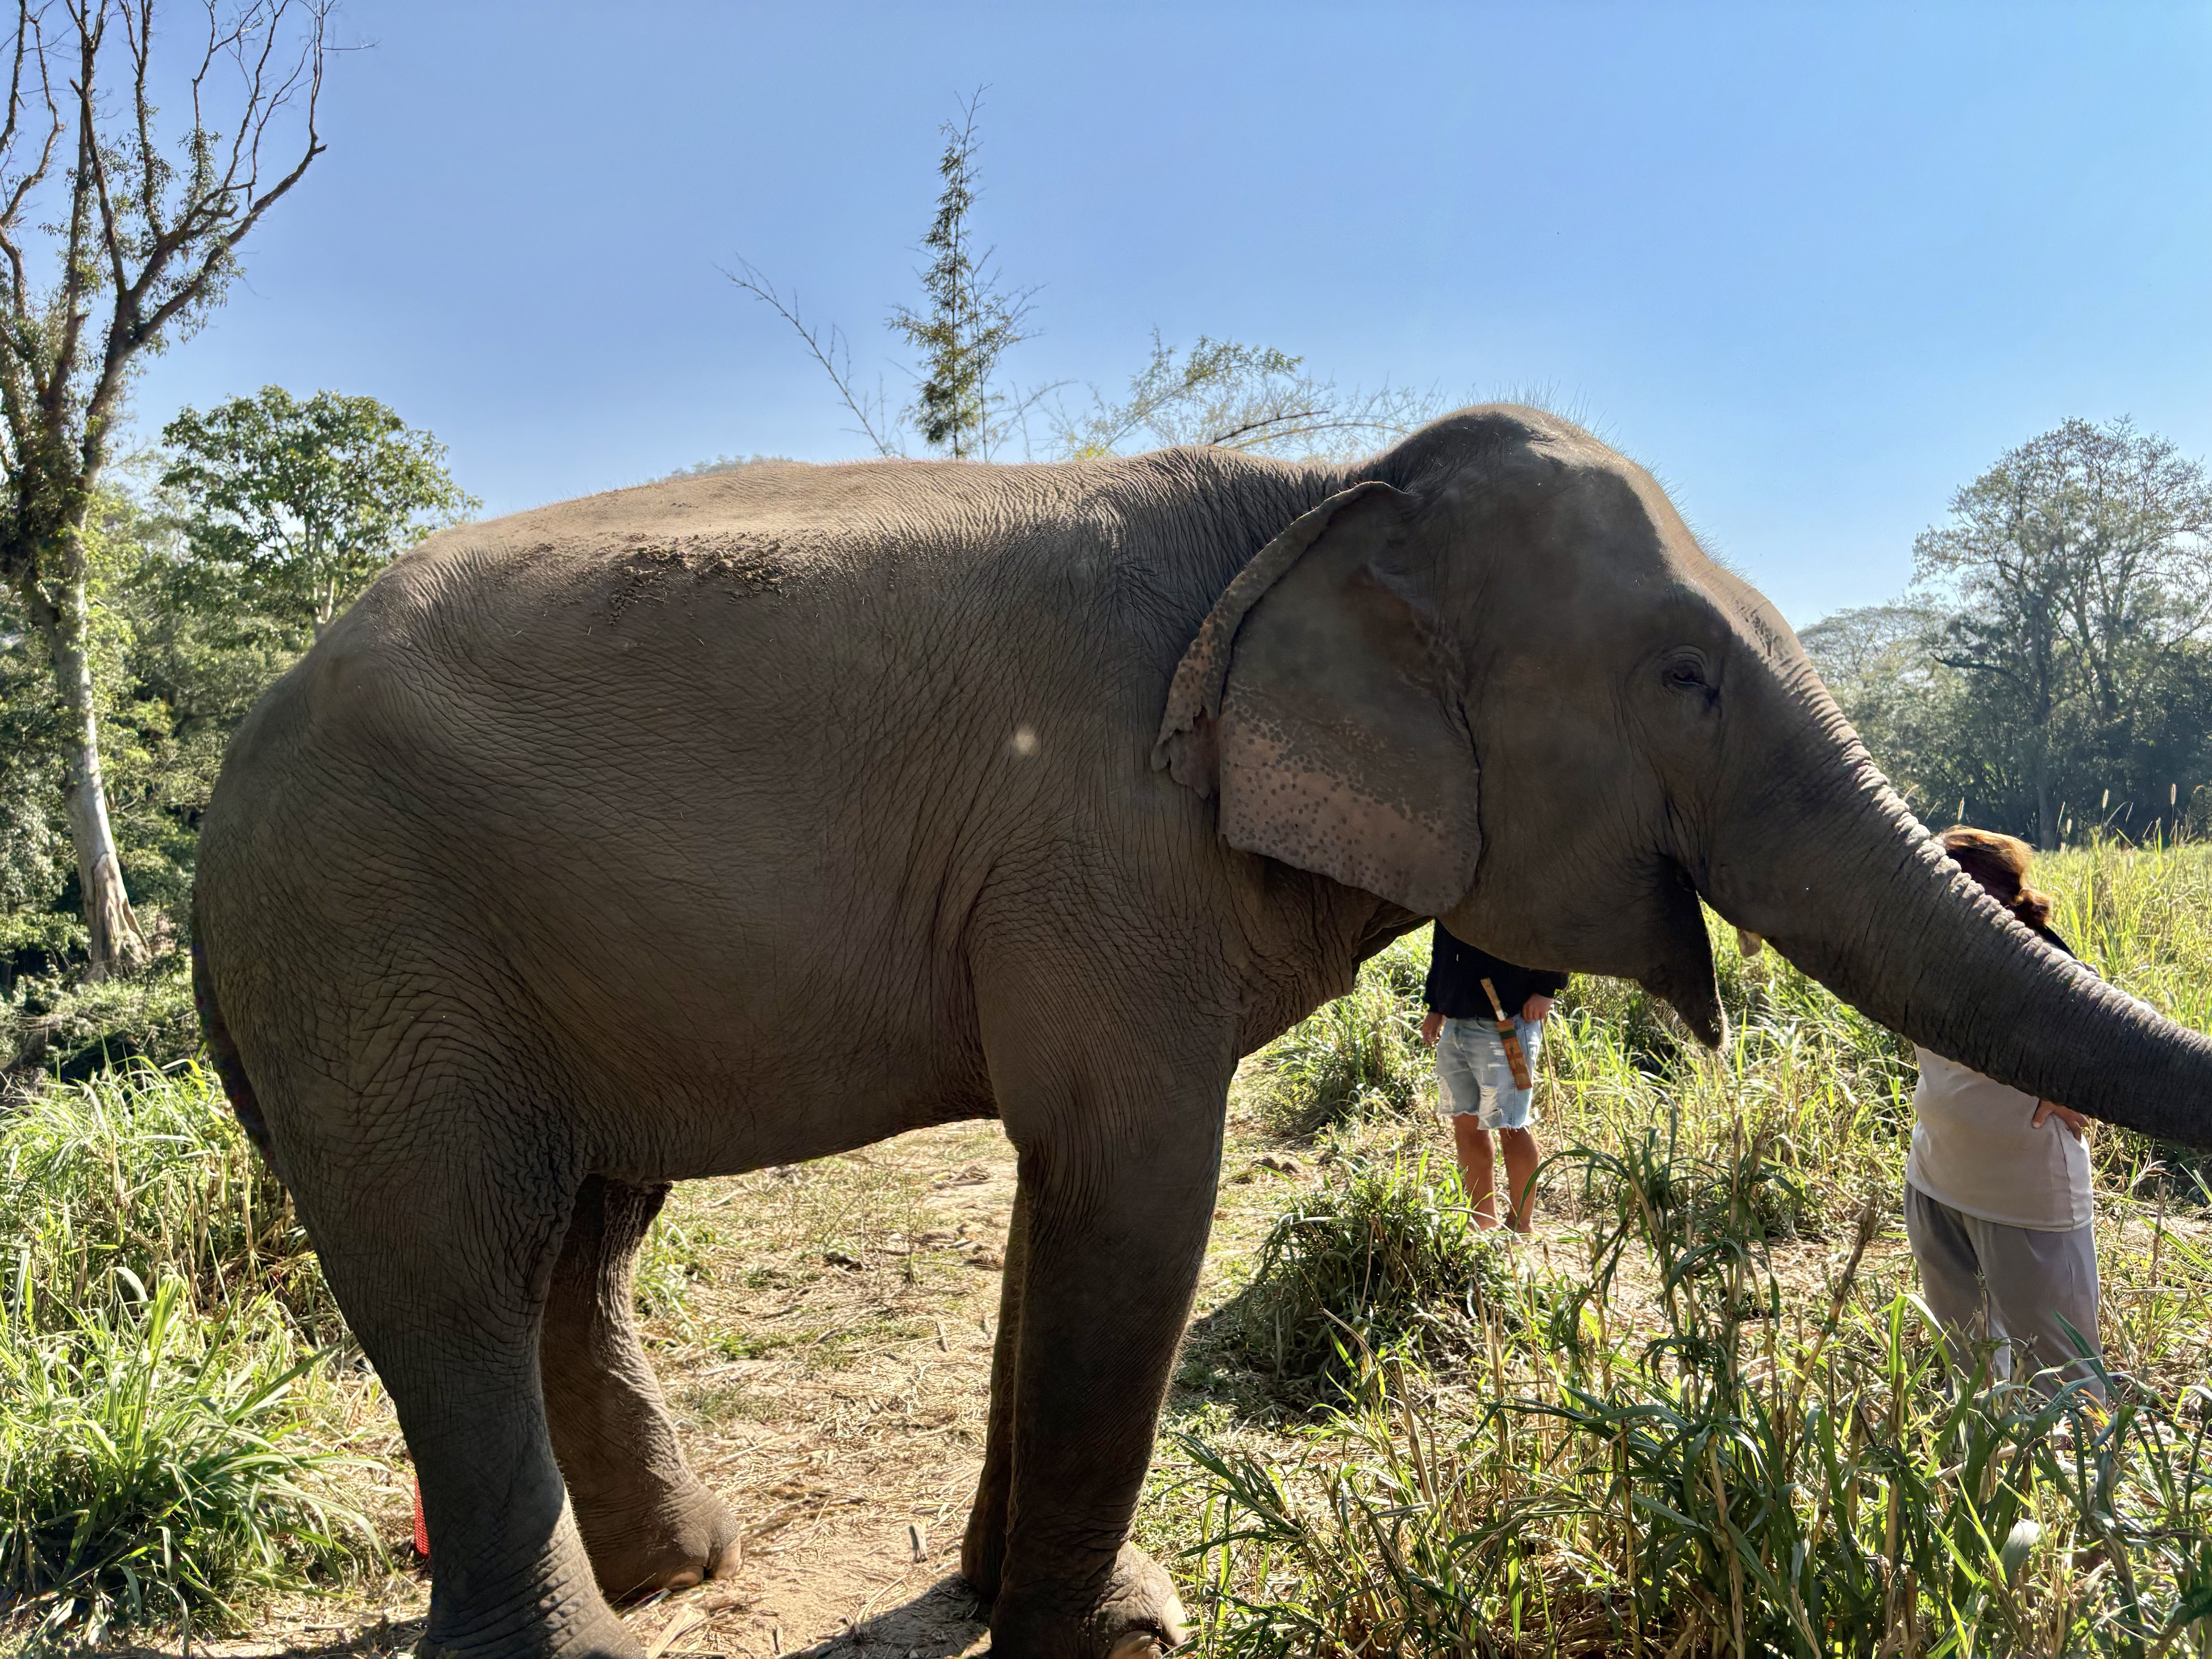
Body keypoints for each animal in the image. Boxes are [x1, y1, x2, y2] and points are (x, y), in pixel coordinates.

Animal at [190, 406, 2212, 1659]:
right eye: (1688, 676)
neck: (1315, 496)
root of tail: (227, 789)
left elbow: (1066, 1203)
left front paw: (1035, 1601)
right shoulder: (1101, 843)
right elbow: (1136, 1191)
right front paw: (1113, 1636)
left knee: (584, 1243)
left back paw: (692, 1570)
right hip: (370, 955)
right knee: (453, 1270)